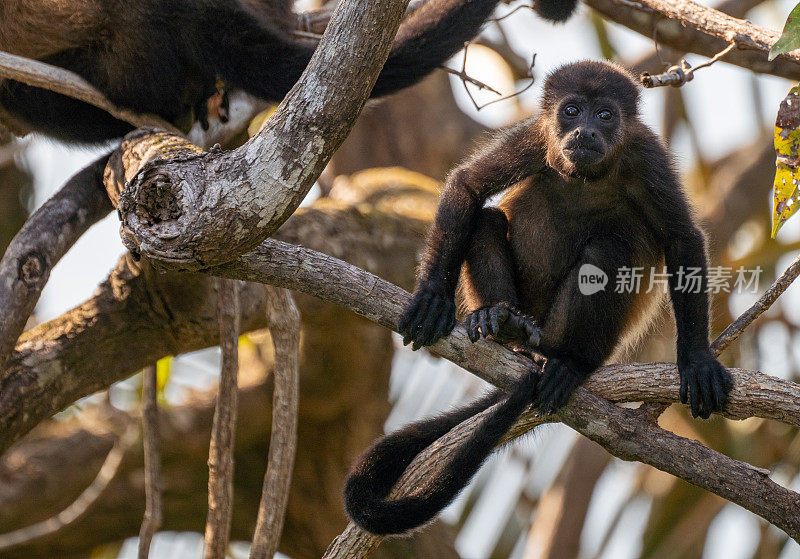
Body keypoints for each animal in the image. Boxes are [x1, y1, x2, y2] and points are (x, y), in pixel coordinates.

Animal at [342, 59, 732, 536]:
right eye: (571, 110)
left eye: (605, 115)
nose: (585, 130)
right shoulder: (534, 136)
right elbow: (468, 186)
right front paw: (434, 295)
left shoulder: (647, 156)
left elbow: (681, 240)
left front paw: (696, 359)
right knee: (486, 219)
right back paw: (500, 321)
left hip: (574, 330)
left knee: (606, 252)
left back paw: (568, 363)